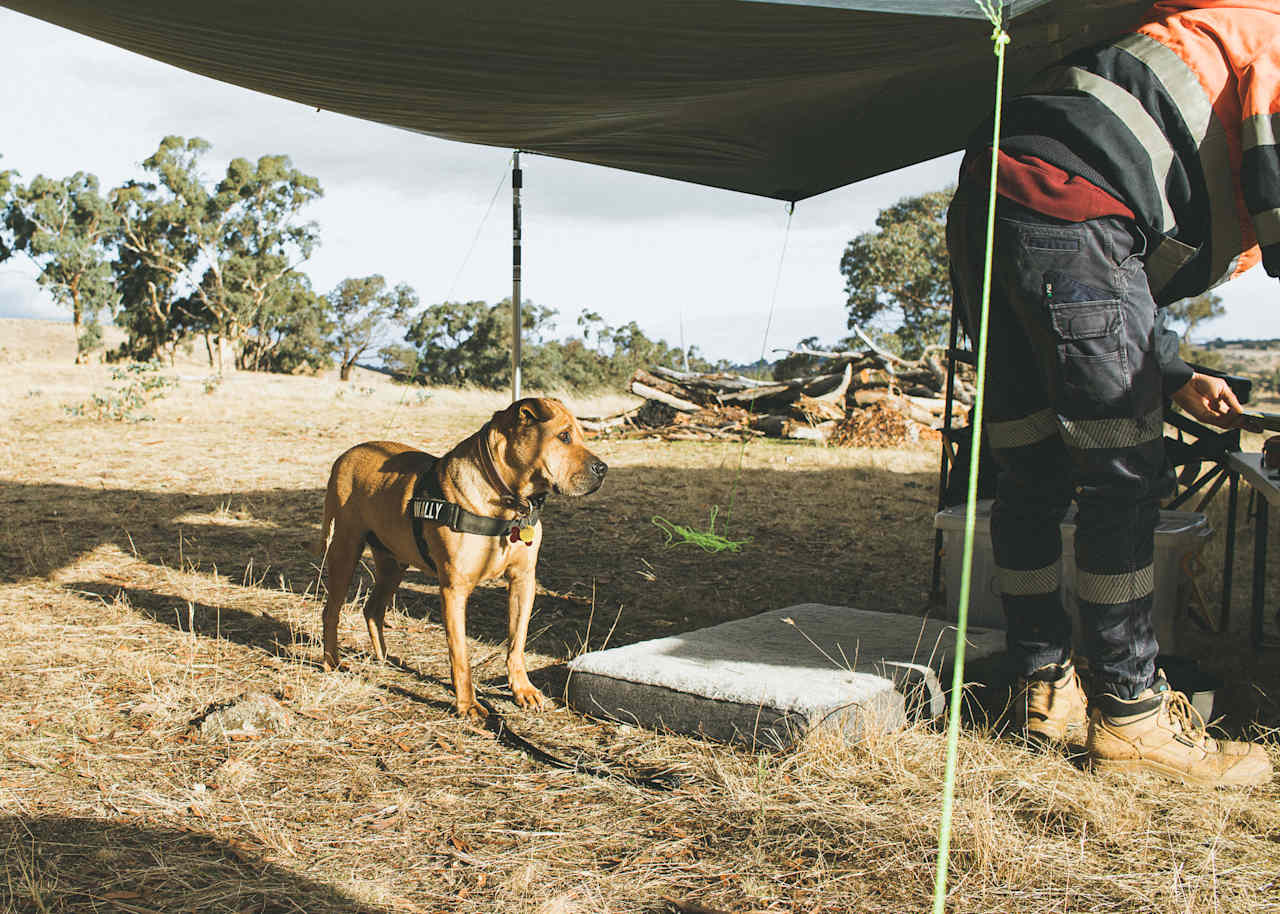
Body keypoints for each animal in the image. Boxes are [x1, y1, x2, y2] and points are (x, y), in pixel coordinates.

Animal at [317, 394, 601, 716]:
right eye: (563, 436)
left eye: (582, 435)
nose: (603, 469)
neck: (506, 502)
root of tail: (346, 455)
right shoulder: (454, 590)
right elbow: (460, 653)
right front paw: (468, 704)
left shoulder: (523, 581)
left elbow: (517, 642)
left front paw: (522, 689)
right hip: (344, 551)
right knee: (331, 611)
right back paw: (332, 661)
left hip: (393, 563)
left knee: (373, 609)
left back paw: (385, 658)